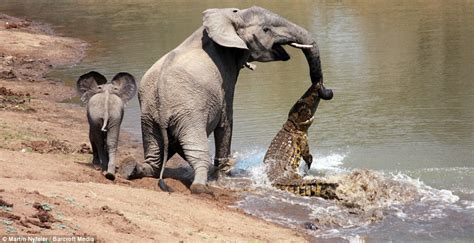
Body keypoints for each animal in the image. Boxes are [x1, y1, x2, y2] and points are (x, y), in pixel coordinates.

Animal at [121, 5, 334, 194]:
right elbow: (226, 121)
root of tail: (162, 105)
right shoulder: (226, 75)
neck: (229, 17)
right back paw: (202, 187)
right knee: (198, 153)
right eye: (266, 29)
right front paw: (224, 177)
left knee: (154, 158)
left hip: (149, 117)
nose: (327, 90)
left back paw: (130, 168)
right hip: (188, 115)